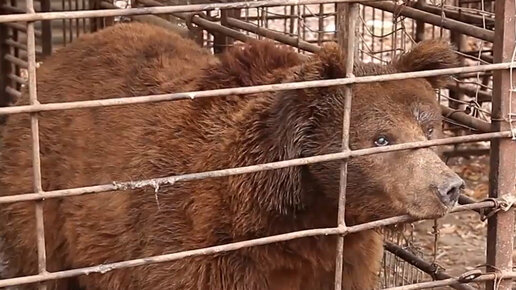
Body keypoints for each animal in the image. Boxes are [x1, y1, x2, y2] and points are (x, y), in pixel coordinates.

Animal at [0, 22, 464, 290]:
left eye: (429, 129)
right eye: (381, 139)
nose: (449, 187)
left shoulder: (339, 254)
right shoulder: (195, 246)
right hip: (42, 195)